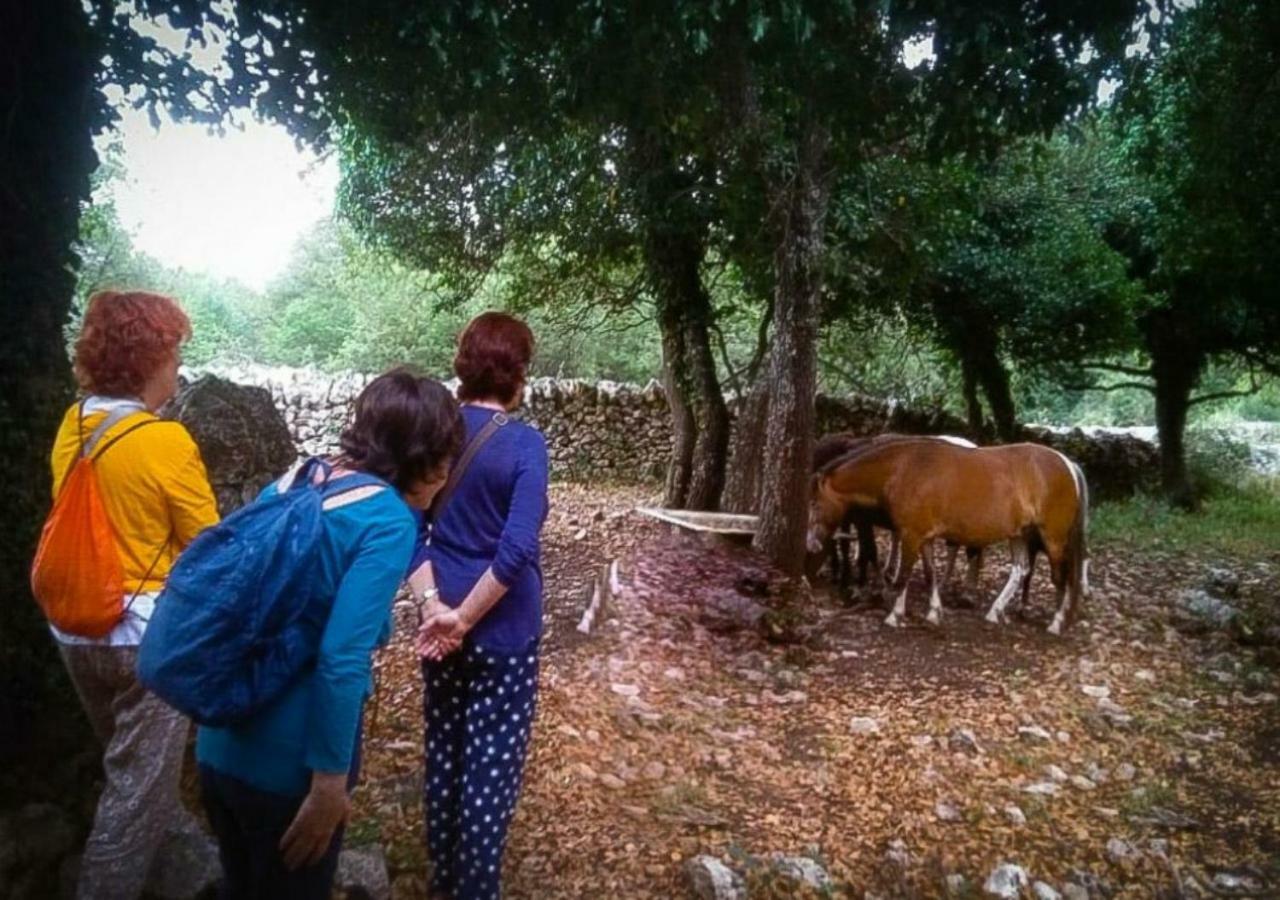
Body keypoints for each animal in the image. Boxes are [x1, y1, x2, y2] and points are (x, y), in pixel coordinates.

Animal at [803, 442, 1085, 634]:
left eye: (814, 504)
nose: (811, 544)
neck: (904, 469)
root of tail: (1067, 464)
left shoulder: (911, 535)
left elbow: (904, 575)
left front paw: (895, 615)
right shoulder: (924, 538)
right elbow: (930, 575)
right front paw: (934, 613)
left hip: (1053, 537)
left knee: (1060, 577)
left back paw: (1056, 622)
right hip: (1019, 534)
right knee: (1020, 570)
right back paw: (996, 611)